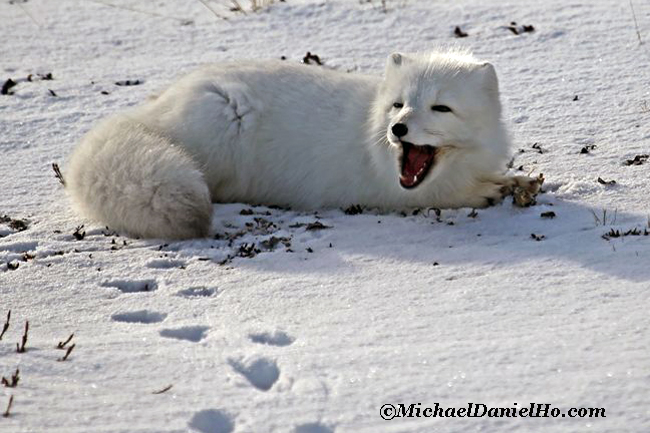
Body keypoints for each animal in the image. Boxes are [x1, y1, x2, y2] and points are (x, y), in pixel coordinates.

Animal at [64, 52, 536, 240]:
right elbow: (445, 195)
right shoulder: (388, 193)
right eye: (399, 104)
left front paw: (515, 181)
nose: (399, 129)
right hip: (220, 123)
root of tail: (155, 111)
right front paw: (491, 190)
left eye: (440, 108)